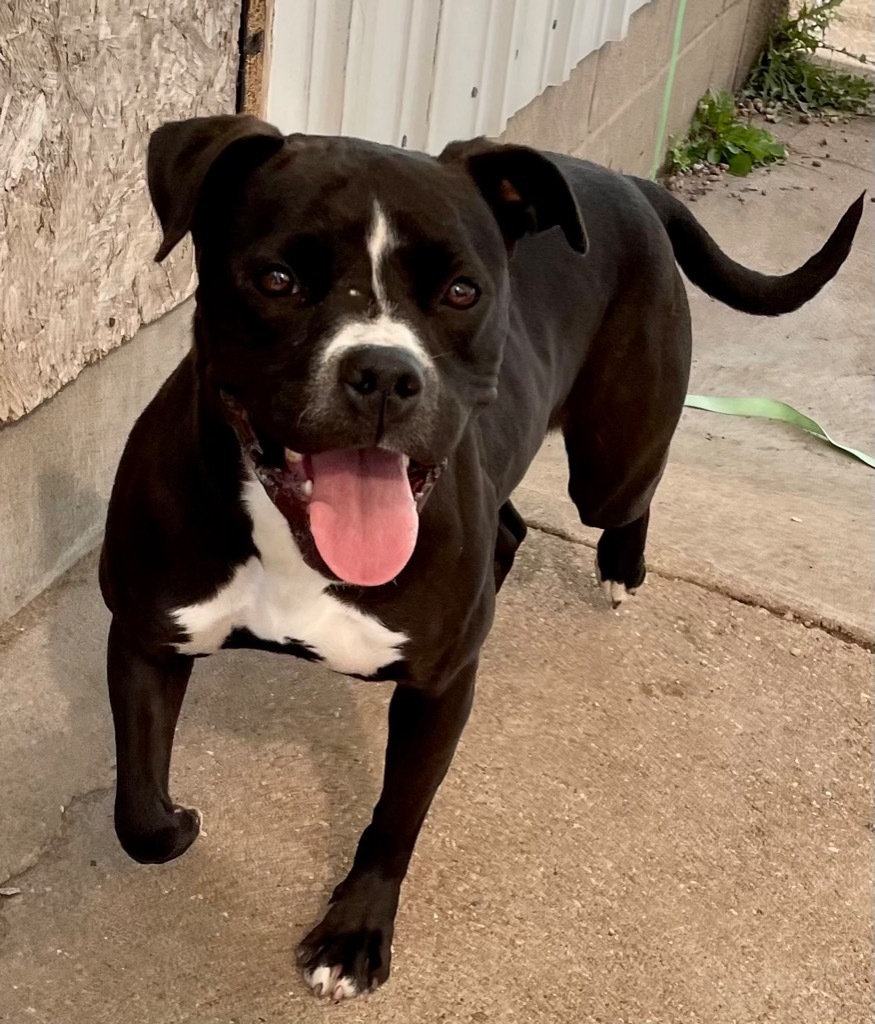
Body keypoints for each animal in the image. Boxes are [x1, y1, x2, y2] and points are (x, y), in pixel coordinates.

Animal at [102, 112, 864, 999]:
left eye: (461, 292)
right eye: (279, 279)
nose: (383, 372)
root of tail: (624, 183)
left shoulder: (438, 689)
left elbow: (396, 817)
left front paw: (353, 934)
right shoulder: (147, 635)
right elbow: (137, 816)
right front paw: (177, 824)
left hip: (609, 462)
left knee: (626, 496)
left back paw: (621, 568)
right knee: (510, 525)